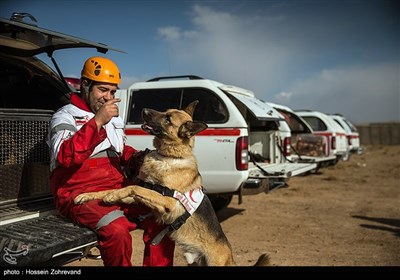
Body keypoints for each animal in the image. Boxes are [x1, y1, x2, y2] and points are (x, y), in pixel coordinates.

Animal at [75, 101, 268, 266]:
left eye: (168, 119)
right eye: (165, 111)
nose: (144, 109)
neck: (169, 157)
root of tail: (231, 257)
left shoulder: (167, 201)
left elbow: (132, 187)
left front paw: (111, 196)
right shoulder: (143, 194)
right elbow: (121, 189)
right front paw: (88, 195)